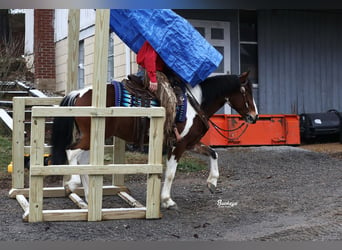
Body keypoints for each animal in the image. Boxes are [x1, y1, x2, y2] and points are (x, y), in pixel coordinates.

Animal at [52, 71, 258, 210]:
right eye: (246, 91)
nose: (254, 117)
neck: (195, 104)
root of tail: (79, 93)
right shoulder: (178, 145)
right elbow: (171, 174)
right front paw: (167, 200)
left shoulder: (190, 143)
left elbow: (213, 153)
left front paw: (212, 183)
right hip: (89, 138)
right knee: (71, 152)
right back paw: (72, 184)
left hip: (94, 137)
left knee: (84, 162)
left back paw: (88, 198)